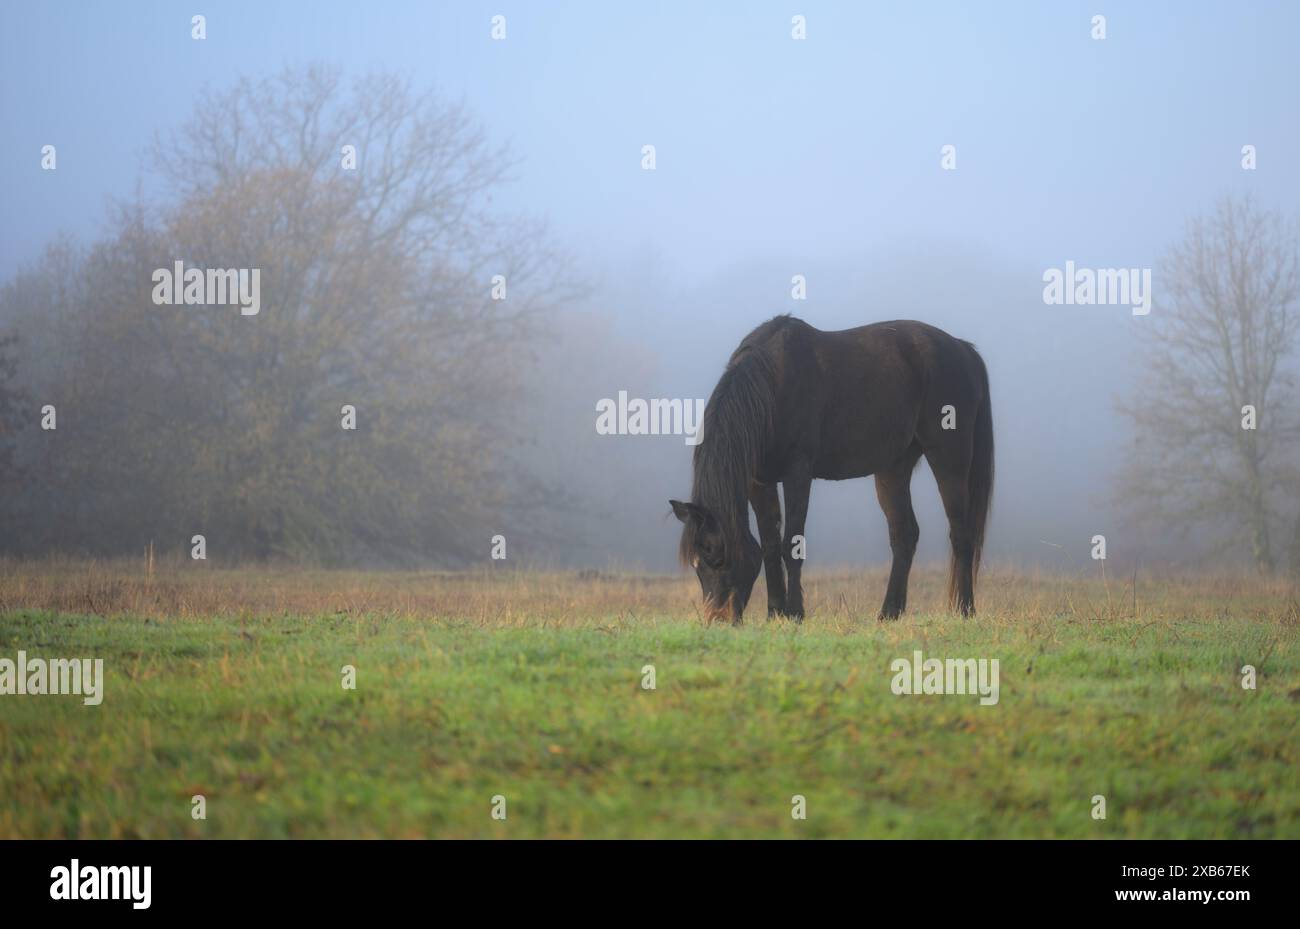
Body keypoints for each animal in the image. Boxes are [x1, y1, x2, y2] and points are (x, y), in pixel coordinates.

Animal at [670, 315, 993, 624]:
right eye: (696, 562)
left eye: (715, 553)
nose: (718, 618)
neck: (772, 384)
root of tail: (964, 349)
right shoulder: (759, 482)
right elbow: (770, 545)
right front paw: (775, 612)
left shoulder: (797, 473)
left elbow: (791, 544)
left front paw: (795, 612)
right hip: (893, 470)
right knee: (904, 535)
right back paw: (889, 612)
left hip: (949, 459)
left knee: (961, 534)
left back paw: (965, 609)